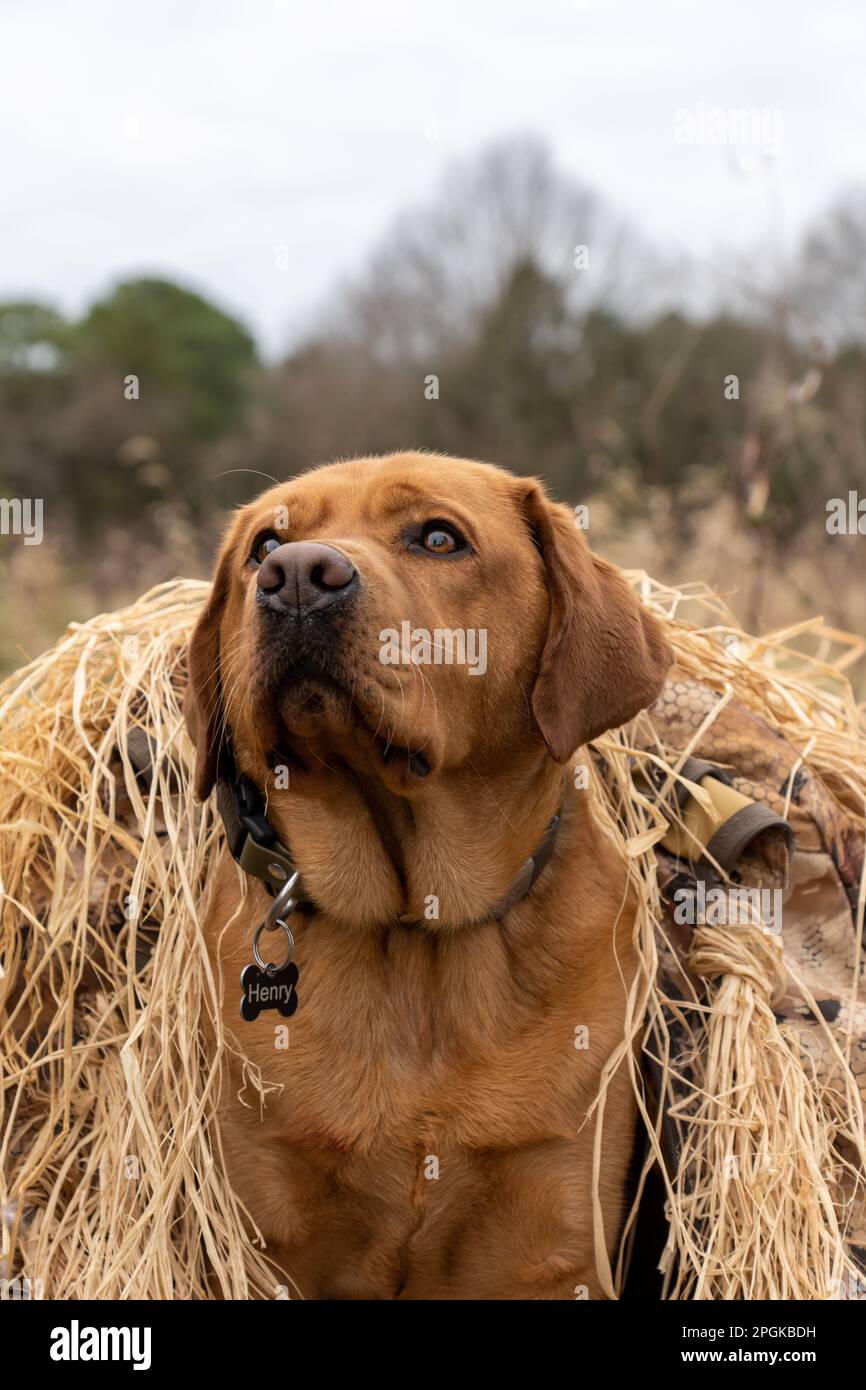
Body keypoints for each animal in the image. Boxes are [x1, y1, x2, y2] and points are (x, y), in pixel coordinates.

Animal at [184, 450, 670, 1295]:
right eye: (263, 545)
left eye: (439, 537)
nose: (296, 575)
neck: (412, 929)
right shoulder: (264, 1232)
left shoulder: (558, 1235)